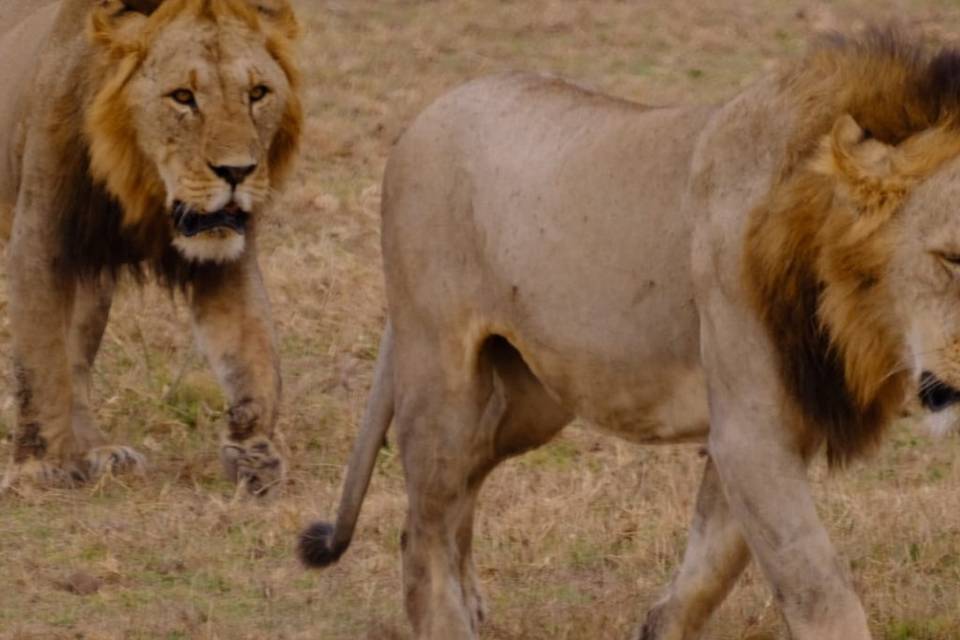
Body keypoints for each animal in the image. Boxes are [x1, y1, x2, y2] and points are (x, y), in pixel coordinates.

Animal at [0, 0, 302, 498]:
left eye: (258, 93)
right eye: (182, 97)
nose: (237, 171)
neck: (140, 188)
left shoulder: (225, 258)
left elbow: (253, 347)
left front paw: (254, 452)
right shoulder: (40, 242)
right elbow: (40, 362)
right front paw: (42, 466)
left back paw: (100, 452)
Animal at [302, 32, 960, 640]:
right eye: (952, 257)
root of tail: (426, 113)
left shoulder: (762, 433)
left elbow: (708, 567)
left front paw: (657, 626)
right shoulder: (750, 431)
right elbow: (817, 589)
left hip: (530, 401)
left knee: (464, 481)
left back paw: (473, 602)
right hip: (439, 371)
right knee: (424, 525)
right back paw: (450, 620)